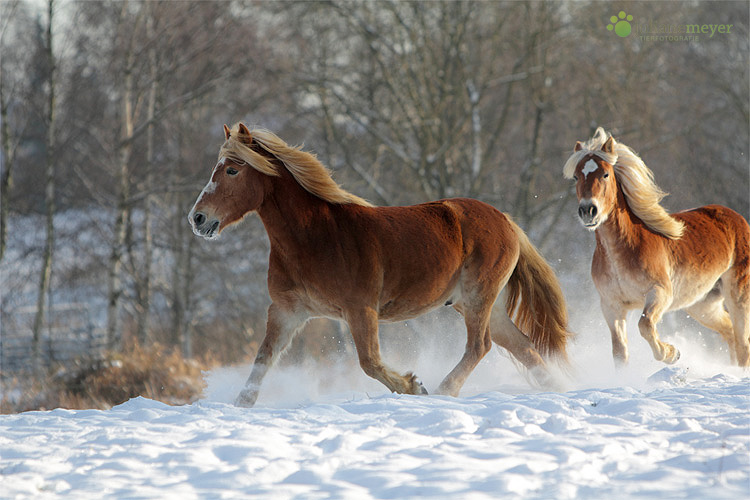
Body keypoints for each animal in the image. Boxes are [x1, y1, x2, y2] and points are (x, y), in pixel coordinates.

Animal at [192, 124, 568, 406]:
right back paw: (559, 388)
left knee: (480, 346)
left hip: (478, 298)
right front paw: (241, 405)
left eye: (231, 169)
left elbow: (369, 362)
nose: (197, 219)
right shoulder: (287, 311)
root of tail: (506, 220)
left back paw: (443, 390)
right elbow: (262, 359)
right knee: (524, 347)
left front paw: (414, 386)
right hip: (483, 304)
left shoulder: (360, 309)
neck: (314, 236)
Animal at [568, 127, 748, 366]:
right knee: (728, 332)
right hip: (703, 304)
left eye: (605, 174)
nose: (588, 211)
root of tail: (737, 219)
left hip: (737, 294)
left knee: (742, 343)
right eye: (576, 176)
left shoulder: (659, 293)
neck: (620, 253)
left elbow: (644, 325)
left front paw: (672, 353)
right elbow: (620, 353)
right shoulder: (611, 306)